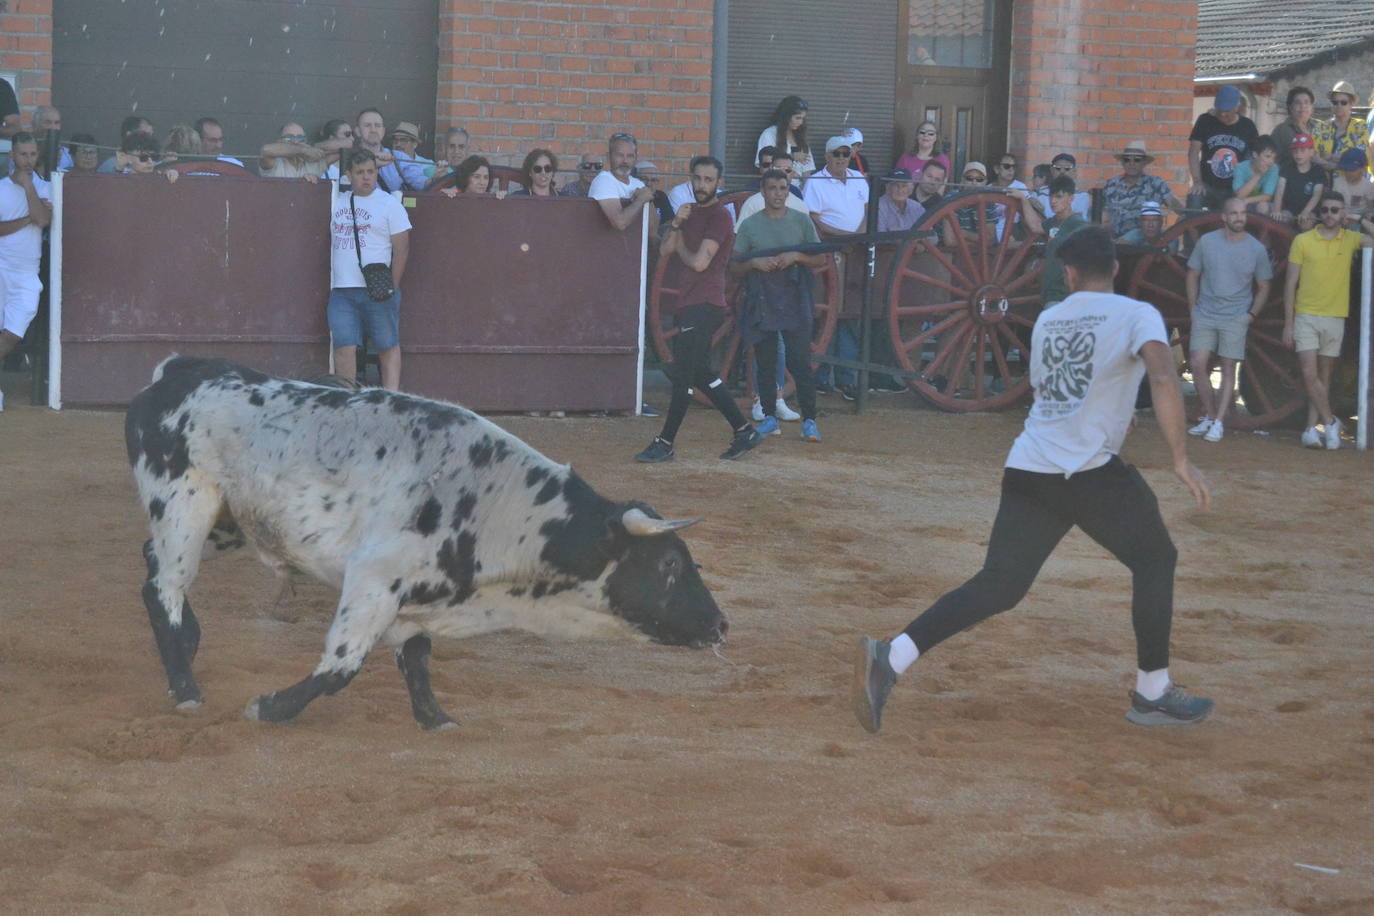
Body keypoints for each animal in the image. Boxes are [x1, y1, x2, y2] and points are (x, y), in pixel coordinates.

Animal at [126, 357, 730, 730]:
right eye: (670, 562)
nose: (721, 624)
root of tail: (179, 370)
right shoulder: (372, 583)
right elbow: (339, 669)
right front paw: (269, 708)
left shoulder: (417, 603)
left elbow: (416, 660)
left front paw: (436, 720)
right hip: (184, 508)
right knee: (164, 588)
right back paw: (184, 684)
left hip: (224, 523)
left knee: (152, 569)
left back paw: (188, 645)